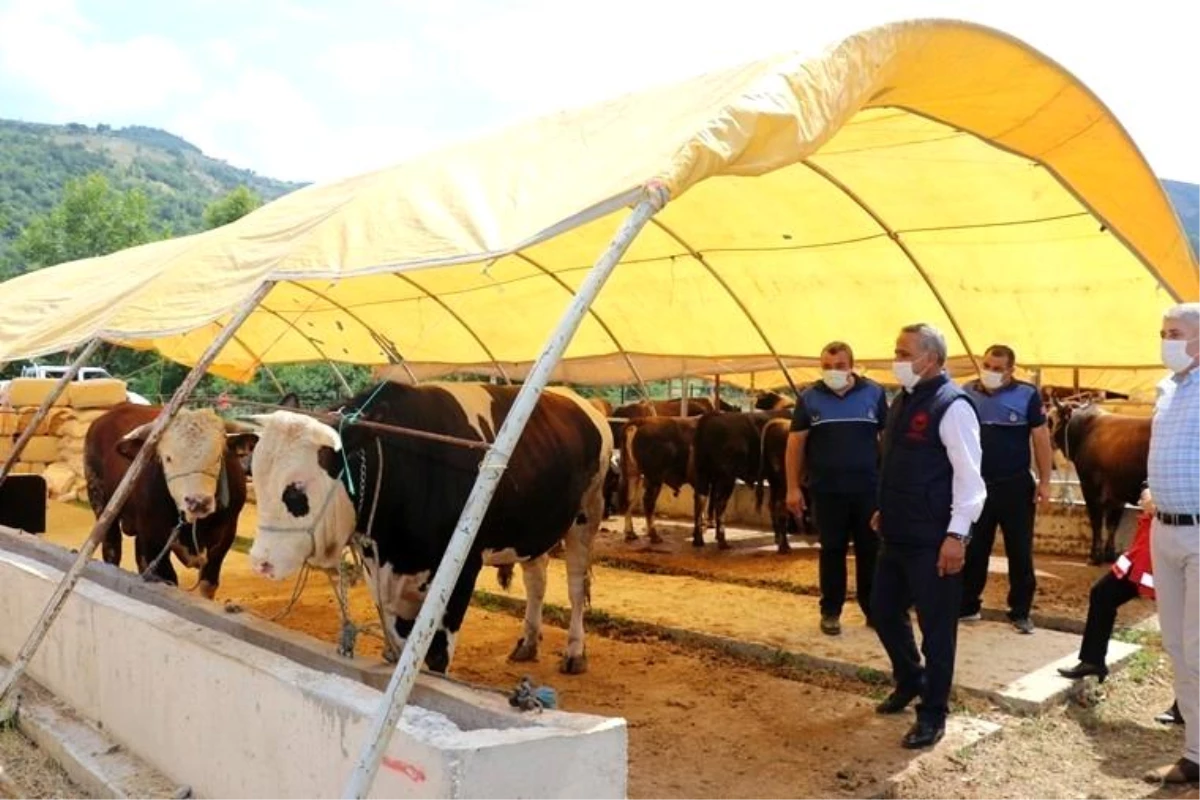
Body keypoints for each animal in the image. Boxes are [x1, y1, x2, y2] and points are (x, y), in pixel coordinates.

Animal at [85, 402, 262, 597]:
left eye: (217, 458)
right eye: (168, 458)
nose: (198, 502)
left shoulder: (225, 535)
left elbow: (208, 583)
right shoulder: (154, 537)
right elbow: (168, 579)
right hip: (102, 505)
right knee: (112, 548)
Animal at [242, 381, 609, 676]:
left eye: (296, 489)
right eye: (254, 476)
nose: (260, 563)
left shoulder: (462, 571)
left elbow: (435, 657)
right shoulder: (385, 576)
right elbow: (401, 645)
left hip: (587, 515)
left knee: (577, 586)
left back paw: (575, 652)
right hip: (534, 526)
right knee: (537, 580)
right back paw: (528, 643)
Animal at [614, 412, 700, 544]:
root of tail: (643, 420)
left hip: (632, 474)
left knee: (629, 499)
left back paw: (630, 533)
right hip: (654, 478)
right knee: (648, 502)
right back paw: (654, 535)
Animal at [691, 412, 792, 551]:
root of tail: (711, 417)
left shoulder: (774, 480)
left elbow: (772, 505)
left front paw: (778, 538)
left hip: (704, 474)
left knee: (701, 500)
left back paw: (699, 539)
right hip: (726, 478)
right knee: (719, 503)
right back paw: (722, 541)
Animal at [1046, 398, 1147, 563]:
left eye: (1049, 420)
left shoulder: (1090, 488)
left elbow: (1096, 523)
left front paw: (1094, 556)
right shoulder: (1117, 495)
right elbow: (1112, 525)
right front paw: (1110, 555)